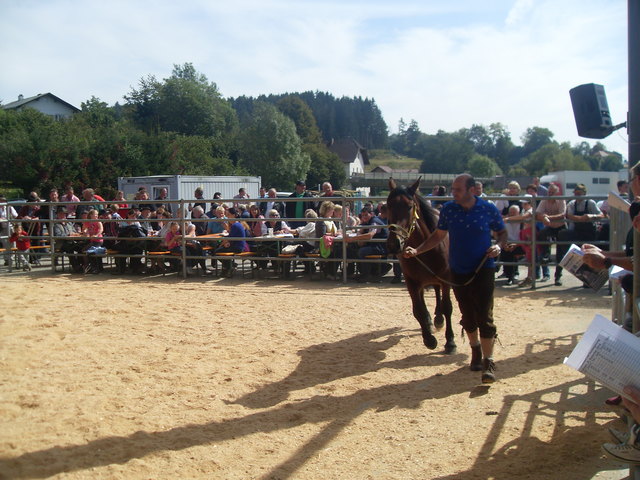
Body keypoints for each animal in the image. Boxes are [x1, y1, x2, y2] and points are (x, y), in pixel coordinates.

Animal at [384, 178, 456, 354]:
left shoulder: (446, 279)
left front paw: (450, 342)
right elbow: (417, 310)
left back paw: (438, 319)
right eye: (388, 205)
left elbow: (448, 307)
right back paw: (431, 320)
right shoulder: (412, 282)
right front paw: (428, 339)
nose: (394, 243)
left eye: (410, 206)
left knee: (438, 294)